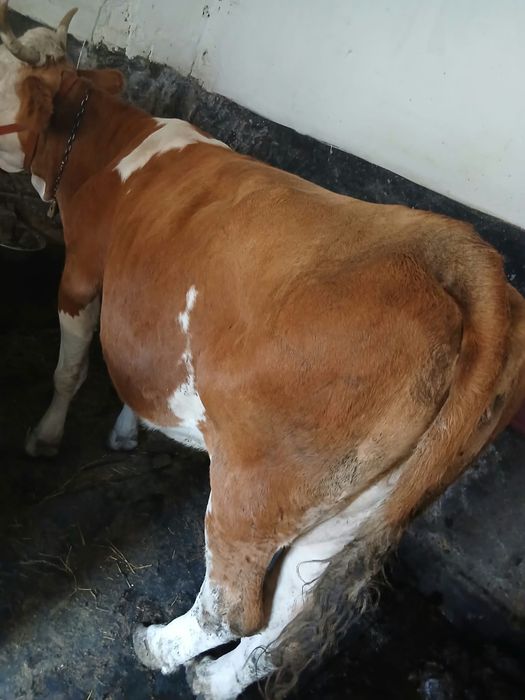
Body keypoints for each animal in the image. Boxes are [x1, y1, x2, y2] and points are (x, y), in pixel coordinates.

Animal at [1, 4, 524, 698]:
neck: (107, 144)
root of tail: (467, 261)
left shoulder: (82, 273)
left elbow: (72, 368)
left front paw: (47, 436)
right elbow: (141, 375)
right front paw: (129, 430)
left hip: (254, 489)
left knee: (236, 604)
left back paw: (157, 647)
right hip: (358, 507)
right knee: (286, 612)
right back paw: (214, 681)